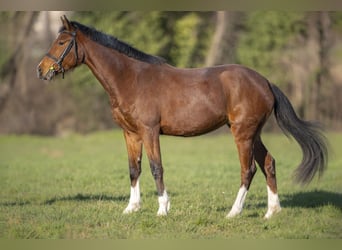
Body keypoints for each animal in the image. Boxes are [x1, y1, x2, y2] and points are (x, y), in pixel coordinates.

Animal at [36, 16, 328, 219]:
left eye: (61, 42)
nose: (41, 69)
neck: (131, 78)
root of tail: (265, 81)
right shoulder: (130, 133)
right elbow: (134, 169)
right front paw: (132, 208)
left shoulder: (150, 131)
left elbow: (156, 167)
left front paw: (162, 209)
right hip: (252, 133)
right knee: (268, 163)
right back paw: (271, 212)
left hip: (242, 134)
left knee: (249, 169)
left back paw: (234, 213)